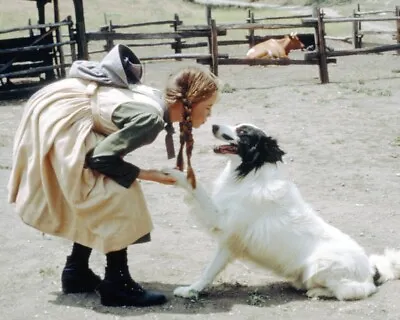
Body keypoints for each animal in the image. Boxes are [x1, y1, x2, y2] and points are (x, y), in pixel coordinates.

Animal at [162, 122, 400, 300]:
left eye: (243, 132)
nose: (213, 125)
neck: (251, 173)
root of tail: (371, 270)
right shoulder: (226, 238)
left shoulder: (225, 229)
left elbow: (209, 269)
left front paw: (174, 173)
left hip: (321, 265)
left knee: (353, 291)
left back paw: (317, 292)